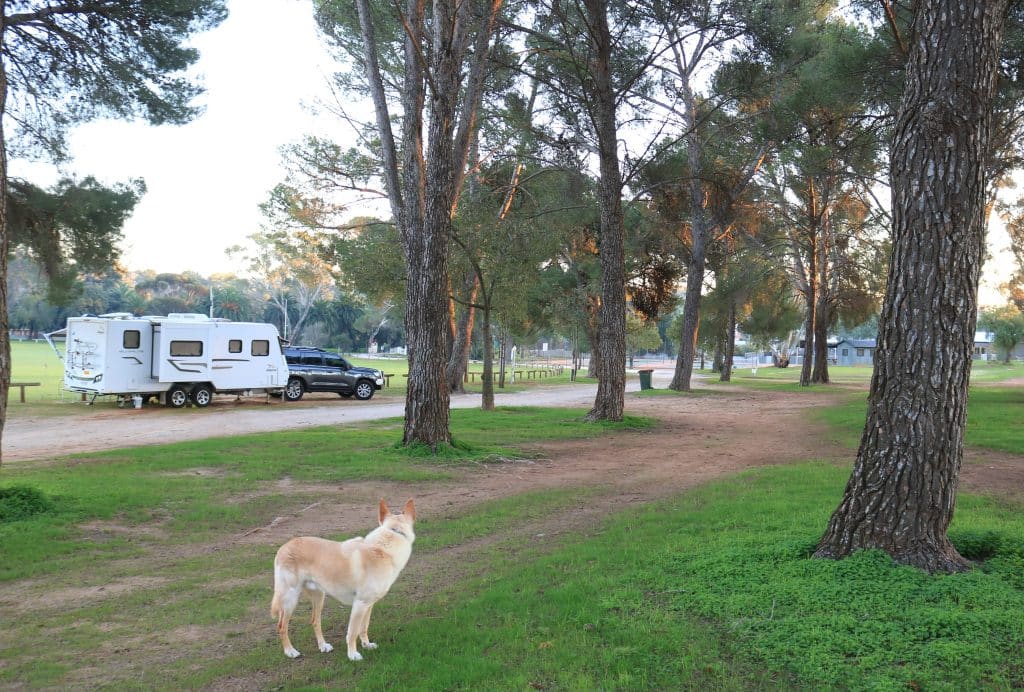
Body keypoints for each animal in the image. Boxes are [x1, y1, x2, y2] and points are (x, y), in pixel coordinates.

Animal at [272, 497, 415, 659]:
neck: (383, 548)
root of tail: (284, 547)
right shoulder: (360, 604)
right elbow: (352, 632)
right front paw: (352, 654)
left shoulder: (369, 604)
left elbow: (364, 627)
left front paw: (367, 645)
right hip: (290, 598)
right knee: (282, 626)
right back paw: (290, 651)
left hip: (319, 596)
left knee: (314, 621)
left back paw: (323, 646)